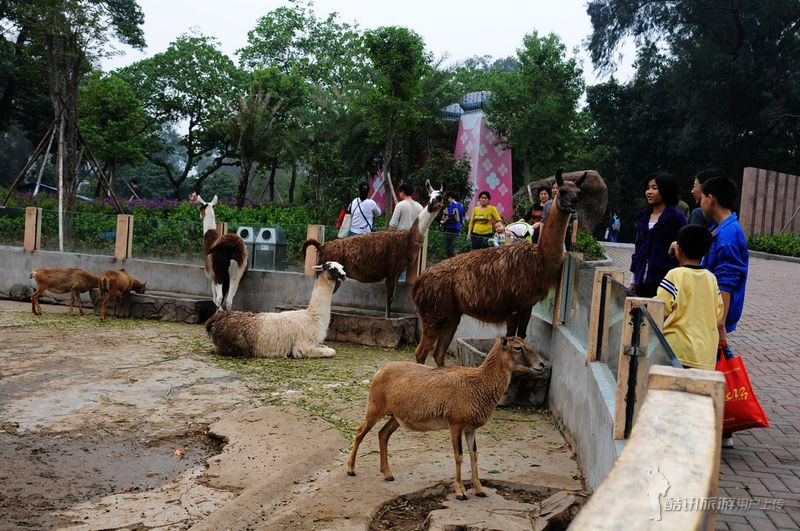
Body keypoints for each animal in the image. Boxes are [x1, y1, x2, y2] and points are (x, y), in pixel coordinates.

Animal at [205, 260, 346, 358]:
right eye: (332, 268)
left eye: (342, 267)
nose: (344, 275)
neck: (313, 317)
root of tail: (216, 320)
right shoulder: (302, 346)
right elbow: (331, 351)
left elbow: (326, 346)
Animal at [304, 181, 446, 318]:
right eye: (429, 196)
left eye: (439, 197)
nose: (430, 206)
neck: (409, 240)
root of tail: (323, 246)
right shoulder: (392, 270)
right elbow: (389, 299)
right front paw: (388, 320)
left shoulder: (395, 272)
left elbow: (390, 298)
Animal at [346, 338, 548, 500]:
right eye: (518, 347)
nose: (541, 365)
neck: (478, 384)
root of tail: (380, 371)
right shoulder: (455, 424)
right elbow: (459, 456)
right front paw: (460, 492)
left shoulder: (470, 428)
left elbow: (474, 454)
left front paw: (479, 490)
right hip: (374, 409)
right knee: (359, 433)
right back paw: (351, 469)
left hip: (396, 417)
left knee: (383, 434)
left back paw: (388, 474)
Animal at [412, 170, 588, 366]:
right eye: (563, 191)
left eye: (579, 192)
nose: (574, 203)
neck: (540, 259)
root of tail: (419, 281)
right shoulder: (513, 305)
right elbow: (511, 337)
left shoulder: (528, 305)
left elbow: (523, 335)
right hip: (434, 313)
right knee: (421, 351)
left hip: (451, 314)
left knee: (438, 353)